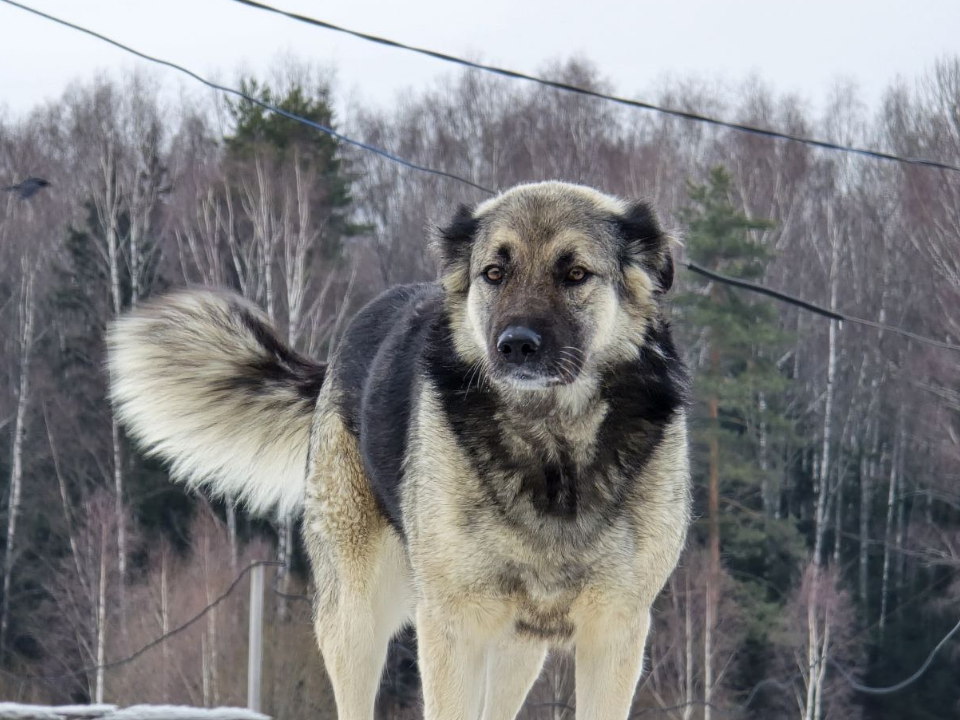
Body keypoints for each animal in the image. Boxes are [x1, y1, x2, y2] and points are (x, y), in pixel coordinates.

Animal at [107, 181, 688, 720]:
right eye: (494, 273)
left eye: (575, 274)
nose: (516, 345)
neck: (550, 446)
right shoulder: (454, 625)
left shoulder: (613, 631)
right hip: (359, 616)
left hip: (515, 648)